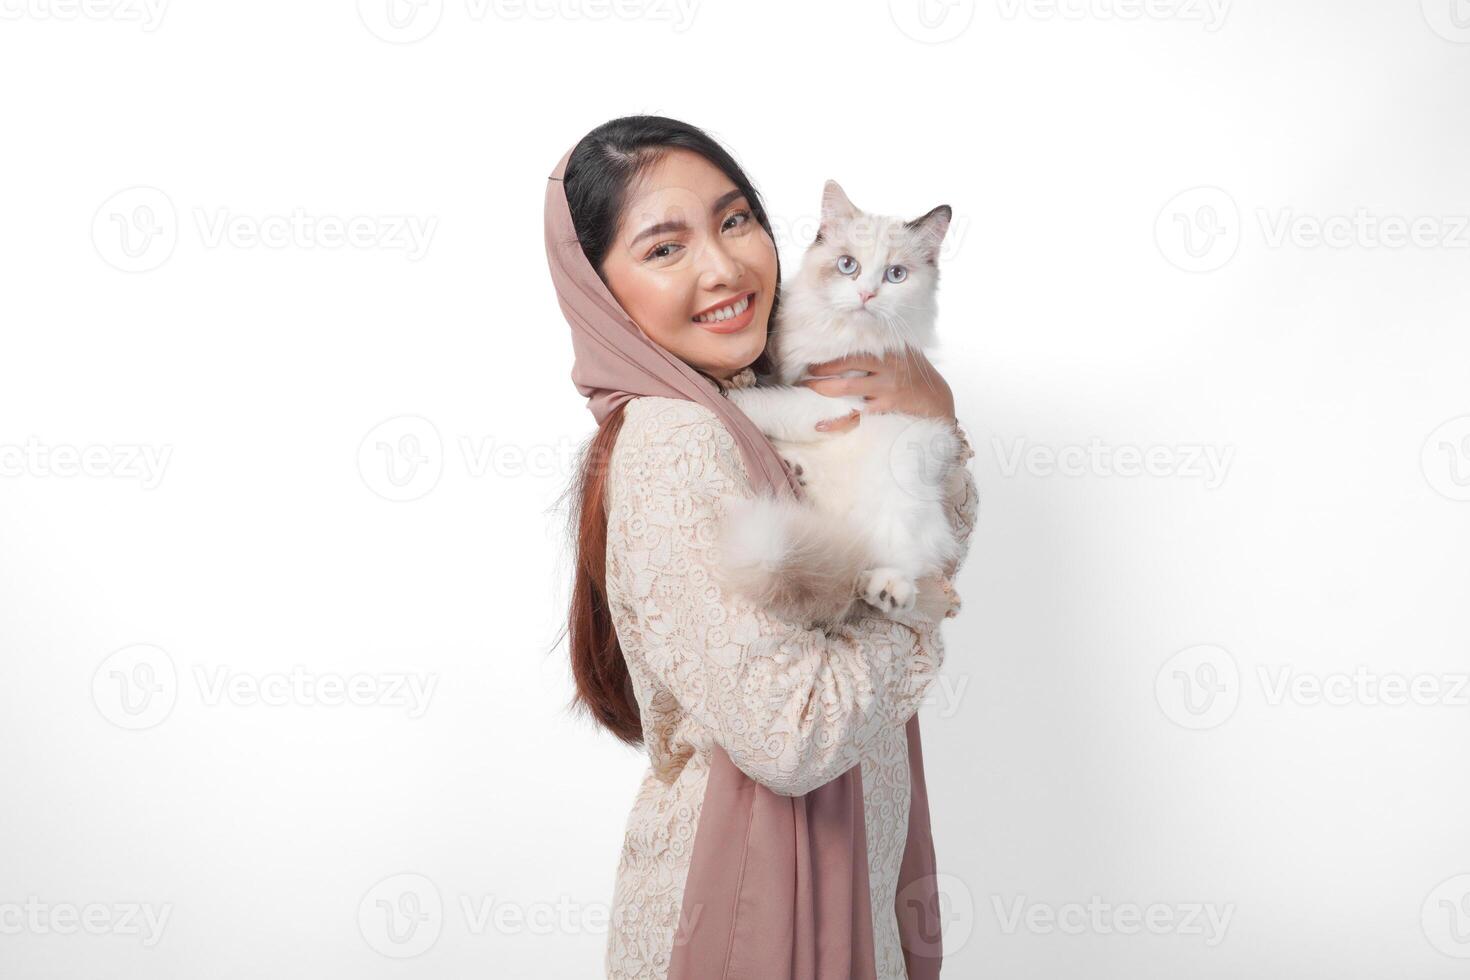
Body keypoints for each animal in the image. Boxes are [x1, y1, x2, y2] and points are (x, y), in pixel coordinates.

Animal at [720, 182, 964, 628]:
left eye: (895, 275)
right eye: (848, 266)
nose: (866, 294)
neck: (840, 333)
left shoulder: (834, 401)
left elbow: (769, 403)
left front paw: (730, 394)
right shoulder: (788, 369)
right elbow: (769, 381)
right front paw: (738, 377)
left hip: (901, 506)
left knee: (901, 567)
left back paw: (885, 590)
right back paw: (797, 470)